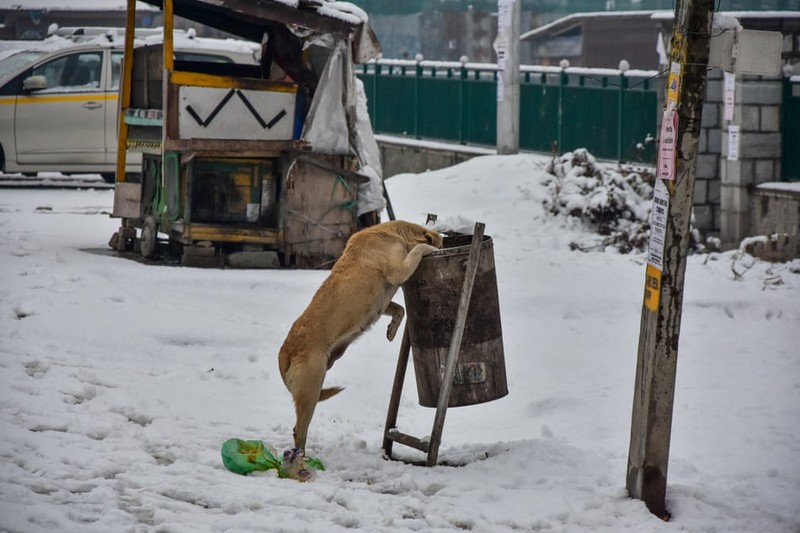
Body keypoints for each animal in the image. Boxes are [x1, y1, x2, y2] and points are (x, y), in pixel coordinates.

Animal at [278, 219, 444, 448]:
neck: (396, 233)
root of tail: (286, 351)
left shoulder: (383, 302)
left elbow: (400, 309)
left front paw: (392, 330)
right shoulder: (398, 270)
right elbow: (419, 250)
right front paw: (430, 248)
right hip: (311, 389)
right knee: (299, 431)